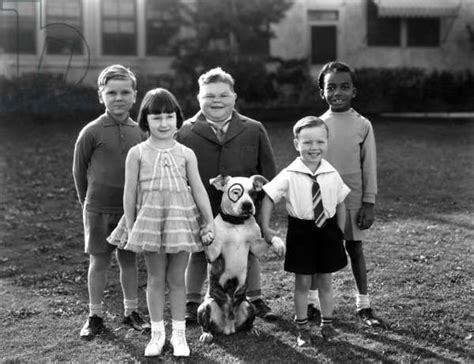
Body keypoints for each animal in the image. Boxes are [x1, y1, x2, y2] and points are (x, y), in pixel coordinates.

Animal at [197, 175, 284, 342]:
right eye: (236, 192)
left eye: (252, 193)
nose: (247, 205)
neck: (236, 223)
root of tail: (228, 327)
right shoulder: (213, 254)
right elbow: (208, 242)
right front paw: (206, 235)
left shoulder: (255, 246)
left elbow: (268, 239)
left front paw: (279, 243)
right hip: (206, 305)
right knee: (206, 324)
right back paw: (206, 333)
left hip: (248, 305)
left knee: (247, 322)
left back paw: (251, 329)